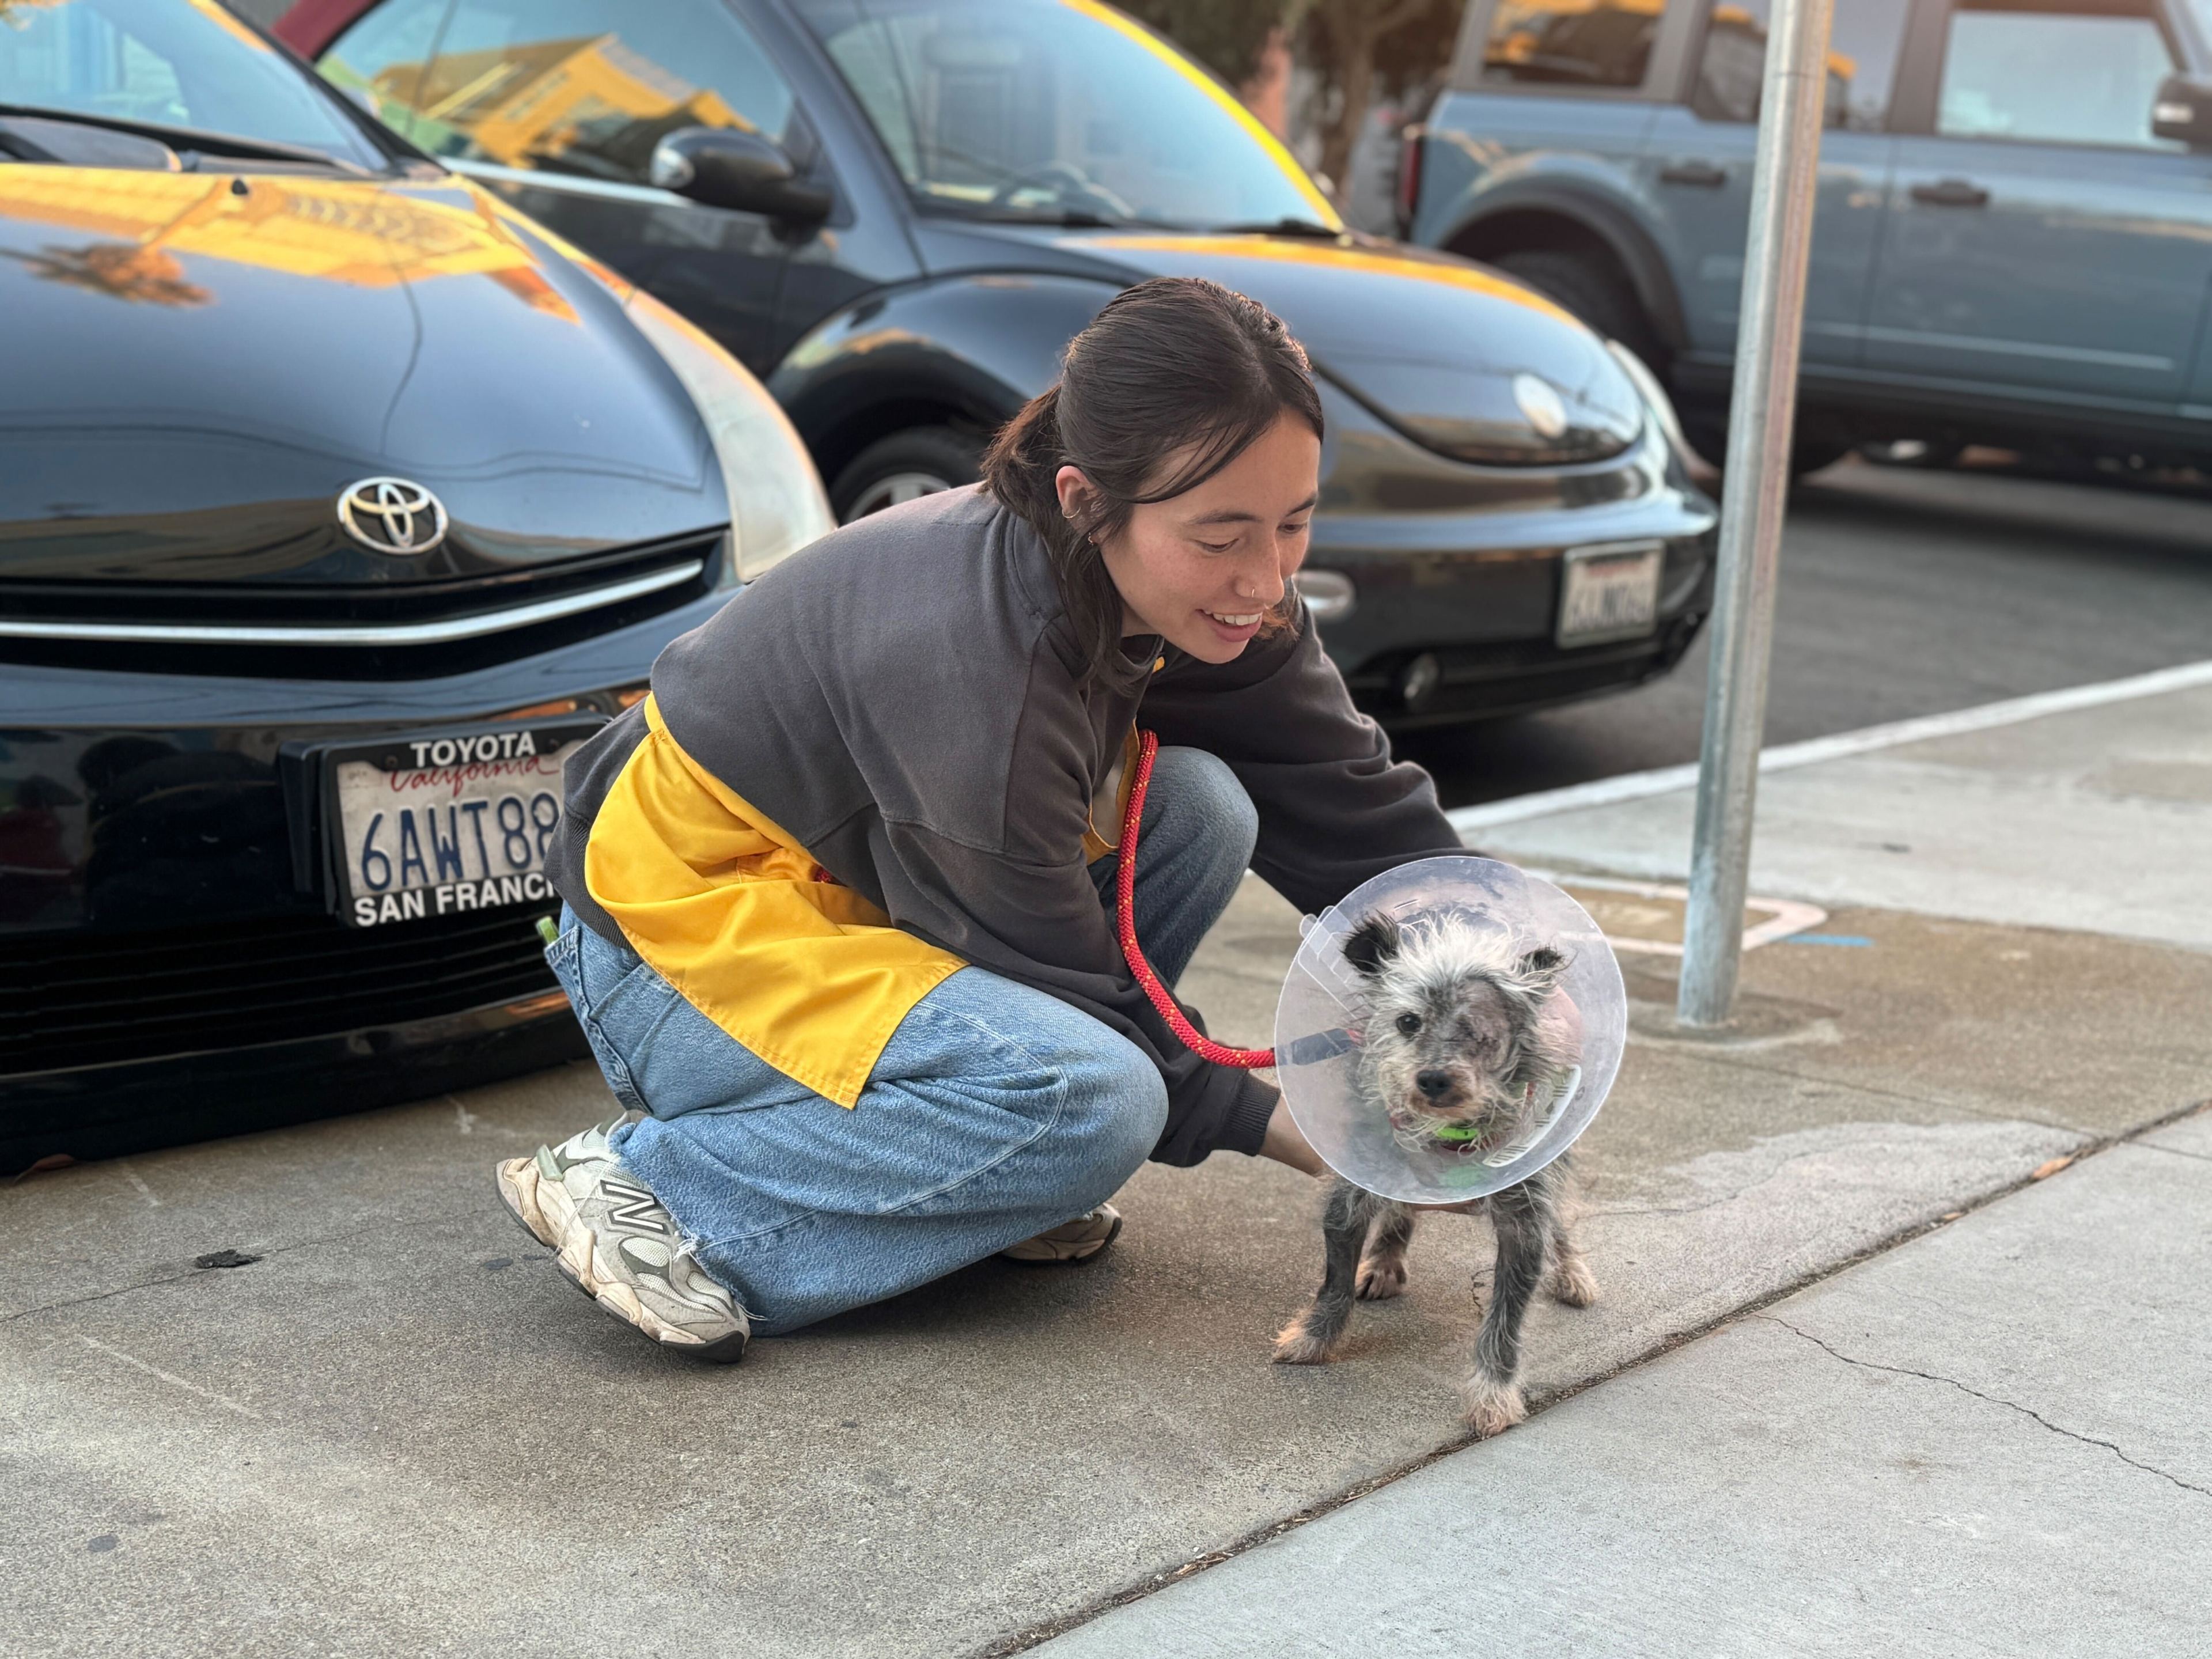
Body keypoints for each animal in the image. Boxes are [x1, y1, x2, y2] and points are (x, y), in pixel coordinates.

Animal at [1274, 911, 1601, 1442]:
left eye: (1480, 1031)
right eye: (1408, 1022)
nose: (1432, 1079)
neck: (1450, 1132)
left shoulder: (1524, 1221)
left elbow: (1505, 1318)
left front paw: (1493, 1393)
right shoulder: (1350, 1194)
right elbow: (1335, 1279)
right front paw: (1313, 1336)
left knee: (1561, 1223)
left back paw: (1572, 1272)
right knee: (1400, 1212)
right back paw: (1385, 1260)